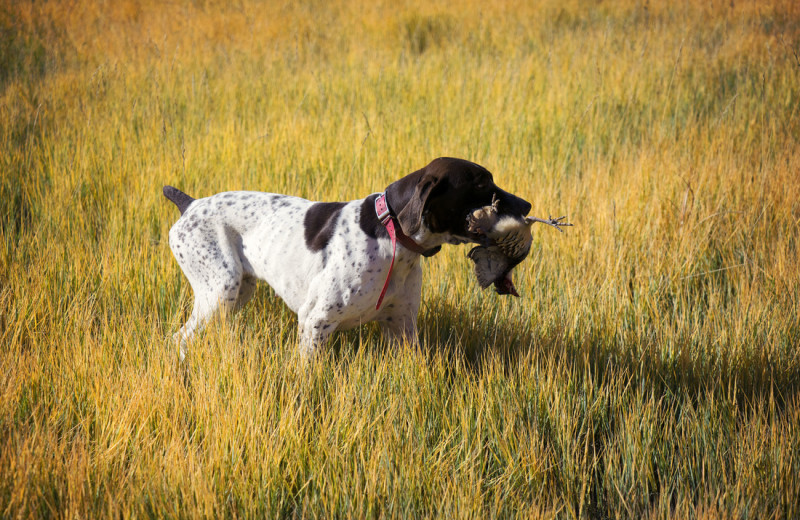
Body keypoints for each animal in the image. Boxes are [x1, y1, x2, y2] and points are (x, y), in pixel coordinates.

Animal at [164, 156, 532, 360]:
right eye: (481, 183)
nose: (527, 205)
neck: (390, 236)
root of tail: (191, 203)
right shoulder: (315, 322)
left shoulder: (402, 327)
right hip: (220, 289)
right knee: (179, 338)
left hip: (239, 291)